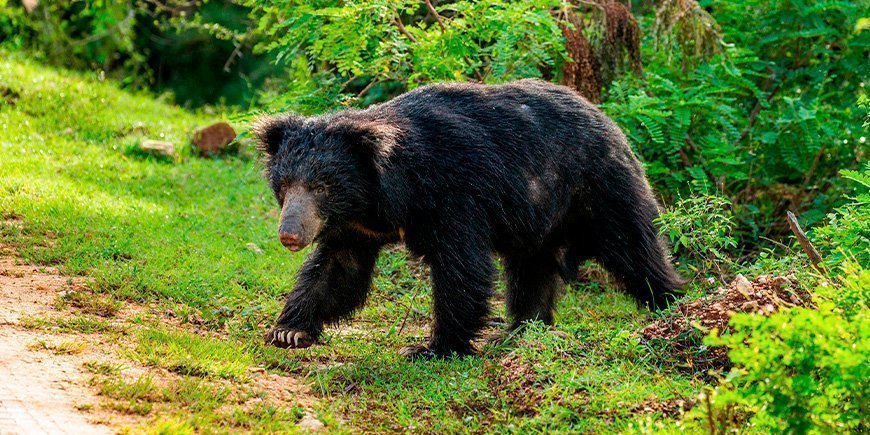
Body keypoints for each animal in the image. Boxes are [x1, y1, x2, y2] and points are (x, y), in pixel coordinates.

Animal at [255, 78, 684, 358]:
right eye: (285, 184)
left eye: (321, 187)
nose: (289, 235)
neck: (382, 193)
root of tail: (609, 121)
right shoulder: (354, 226)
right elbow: (338, 269)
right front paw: (288, 331)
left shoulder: (455, 193)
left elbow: (462, 267)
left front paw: (432, 348)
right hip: (538, 216)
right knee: (532, 271)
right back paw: (520, 330)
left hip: (596, 188)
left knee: (634, 248)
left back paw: (672, 305)